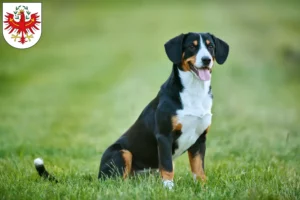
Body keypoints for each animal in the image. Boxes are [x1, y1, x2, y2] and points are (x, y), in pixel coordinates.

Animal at [34, 31, 229, 189]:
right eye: (191, 46)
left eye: (210, 46)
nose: (206, 59)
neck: (194, 92)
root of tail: (98, 176)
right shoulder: (164, 136)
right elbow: (167, 167)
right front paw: (169, 189)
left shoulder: (200, 139)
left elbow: (198, 169)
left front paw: (203, 188)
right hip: (123, 152)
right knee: (118, 181)